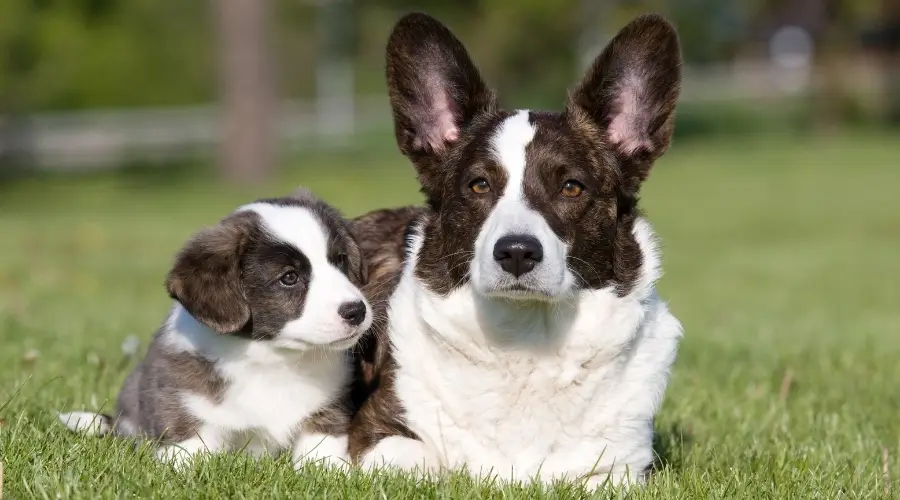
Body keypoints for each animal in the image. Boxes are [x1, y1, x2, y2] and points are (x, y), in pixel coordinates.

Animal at [59, 188, 370, 468]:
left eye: (340, 261)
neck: (273, 359)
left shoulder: (327, 409)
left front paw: (330, 470)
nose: (357, 311)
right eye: (289, 277)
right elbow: (190, 449)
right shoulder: (186, 408)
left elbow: (321, 448)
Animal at [348, 13, 684, 490]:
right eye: (479, 185)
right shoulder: (373, 437)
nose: (518, 253)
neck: (526, 336)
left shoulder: (620, 468)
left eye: (571, 186)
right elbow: (427, 462)